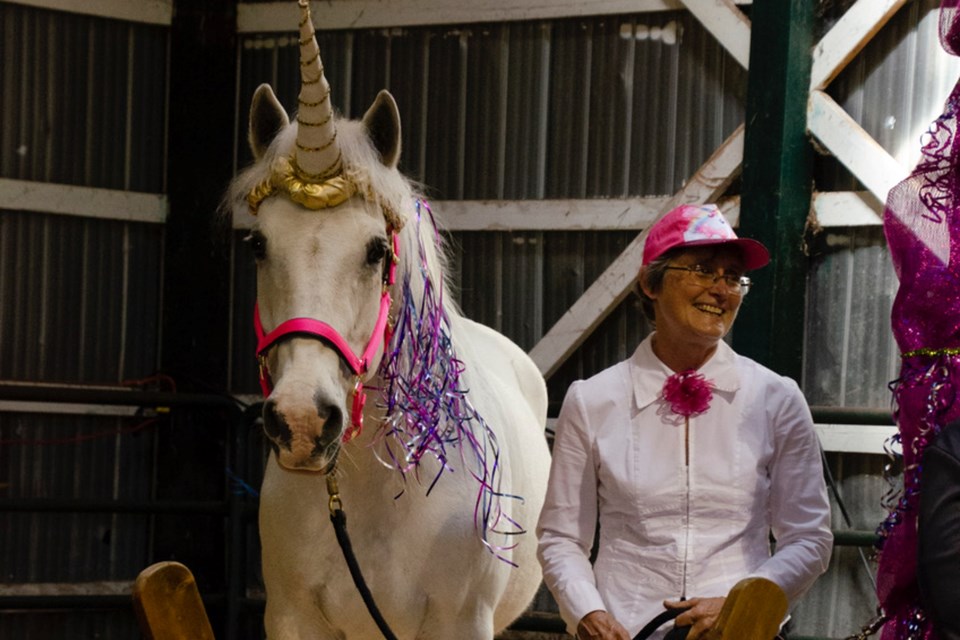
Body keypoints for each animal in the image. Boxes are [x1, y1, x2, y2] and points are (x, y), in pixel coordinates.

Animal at [226, 2, 552, 636]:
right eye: (256, 245)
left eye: (377, 249)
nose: (303, 420)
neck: (374, 491)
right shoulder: (292, 617)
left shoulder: (461, 621)